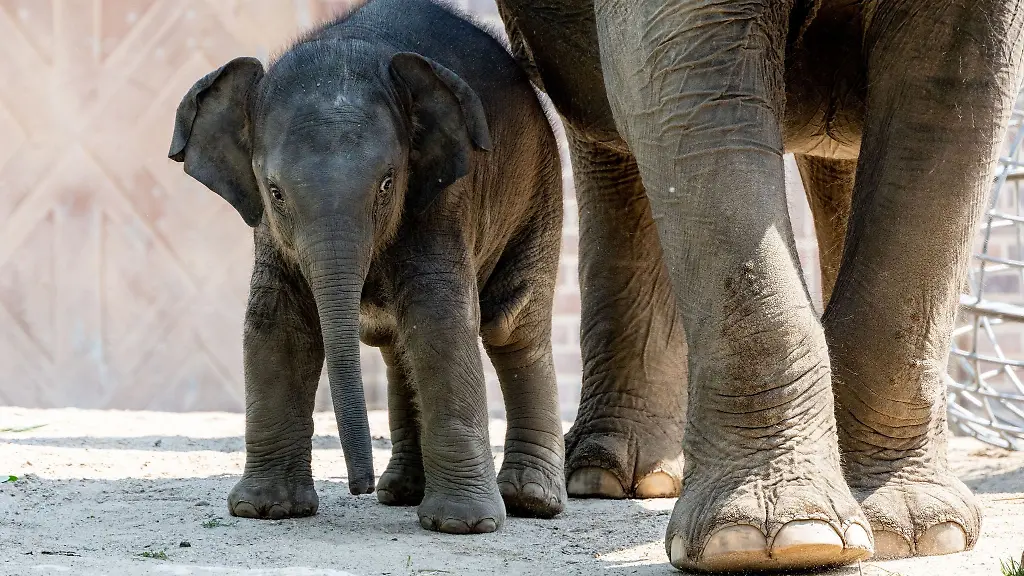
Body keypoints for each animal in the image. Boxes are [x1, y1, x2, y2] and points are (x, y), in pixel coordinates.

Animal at [168, 0, 566, 534]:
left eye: (386, 183)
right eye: (274, 191)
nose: (358, 487)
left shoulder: (443, 198)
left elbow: (440, 319)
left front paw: (463, 524)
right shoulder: (270, 231)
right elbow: (277, 322)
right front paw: (264, 510)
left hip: (540, 185)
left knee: (510, 326)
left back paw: (530, 501)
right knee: (396, 344)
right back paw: (399, 491)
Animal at [494, 0, 1024, 571]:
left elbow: (944, 95)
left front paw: (916, 535)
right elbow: (692, 78)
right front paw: (774, 541)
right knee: (605, 131)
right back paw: (608, 477)